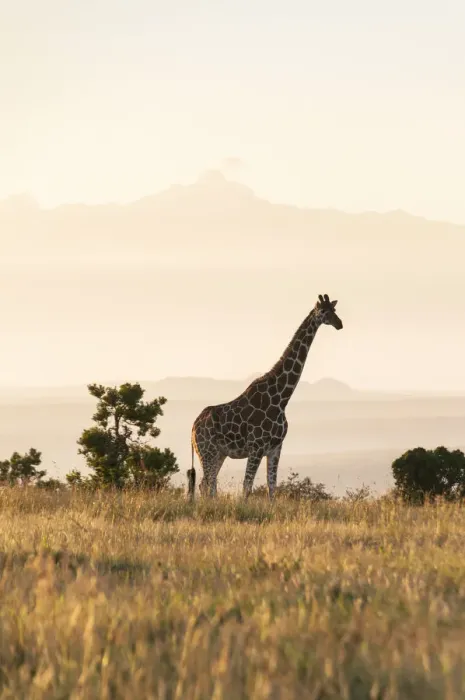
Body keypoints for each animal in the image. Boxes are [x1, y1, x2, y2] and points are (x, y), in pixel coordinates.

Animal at [187, 294, 343, 500]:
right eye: (323, 311)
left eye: (334, 310)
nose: (339, 324)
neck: (281, 398)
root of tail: (193, 427)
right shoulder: (256, 448)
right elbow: (247, 486)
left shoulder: (276, 448)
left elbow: (272, 486)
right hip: (207, 451)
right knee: (207, 484)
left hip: (218, 453)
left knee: (206, 484)